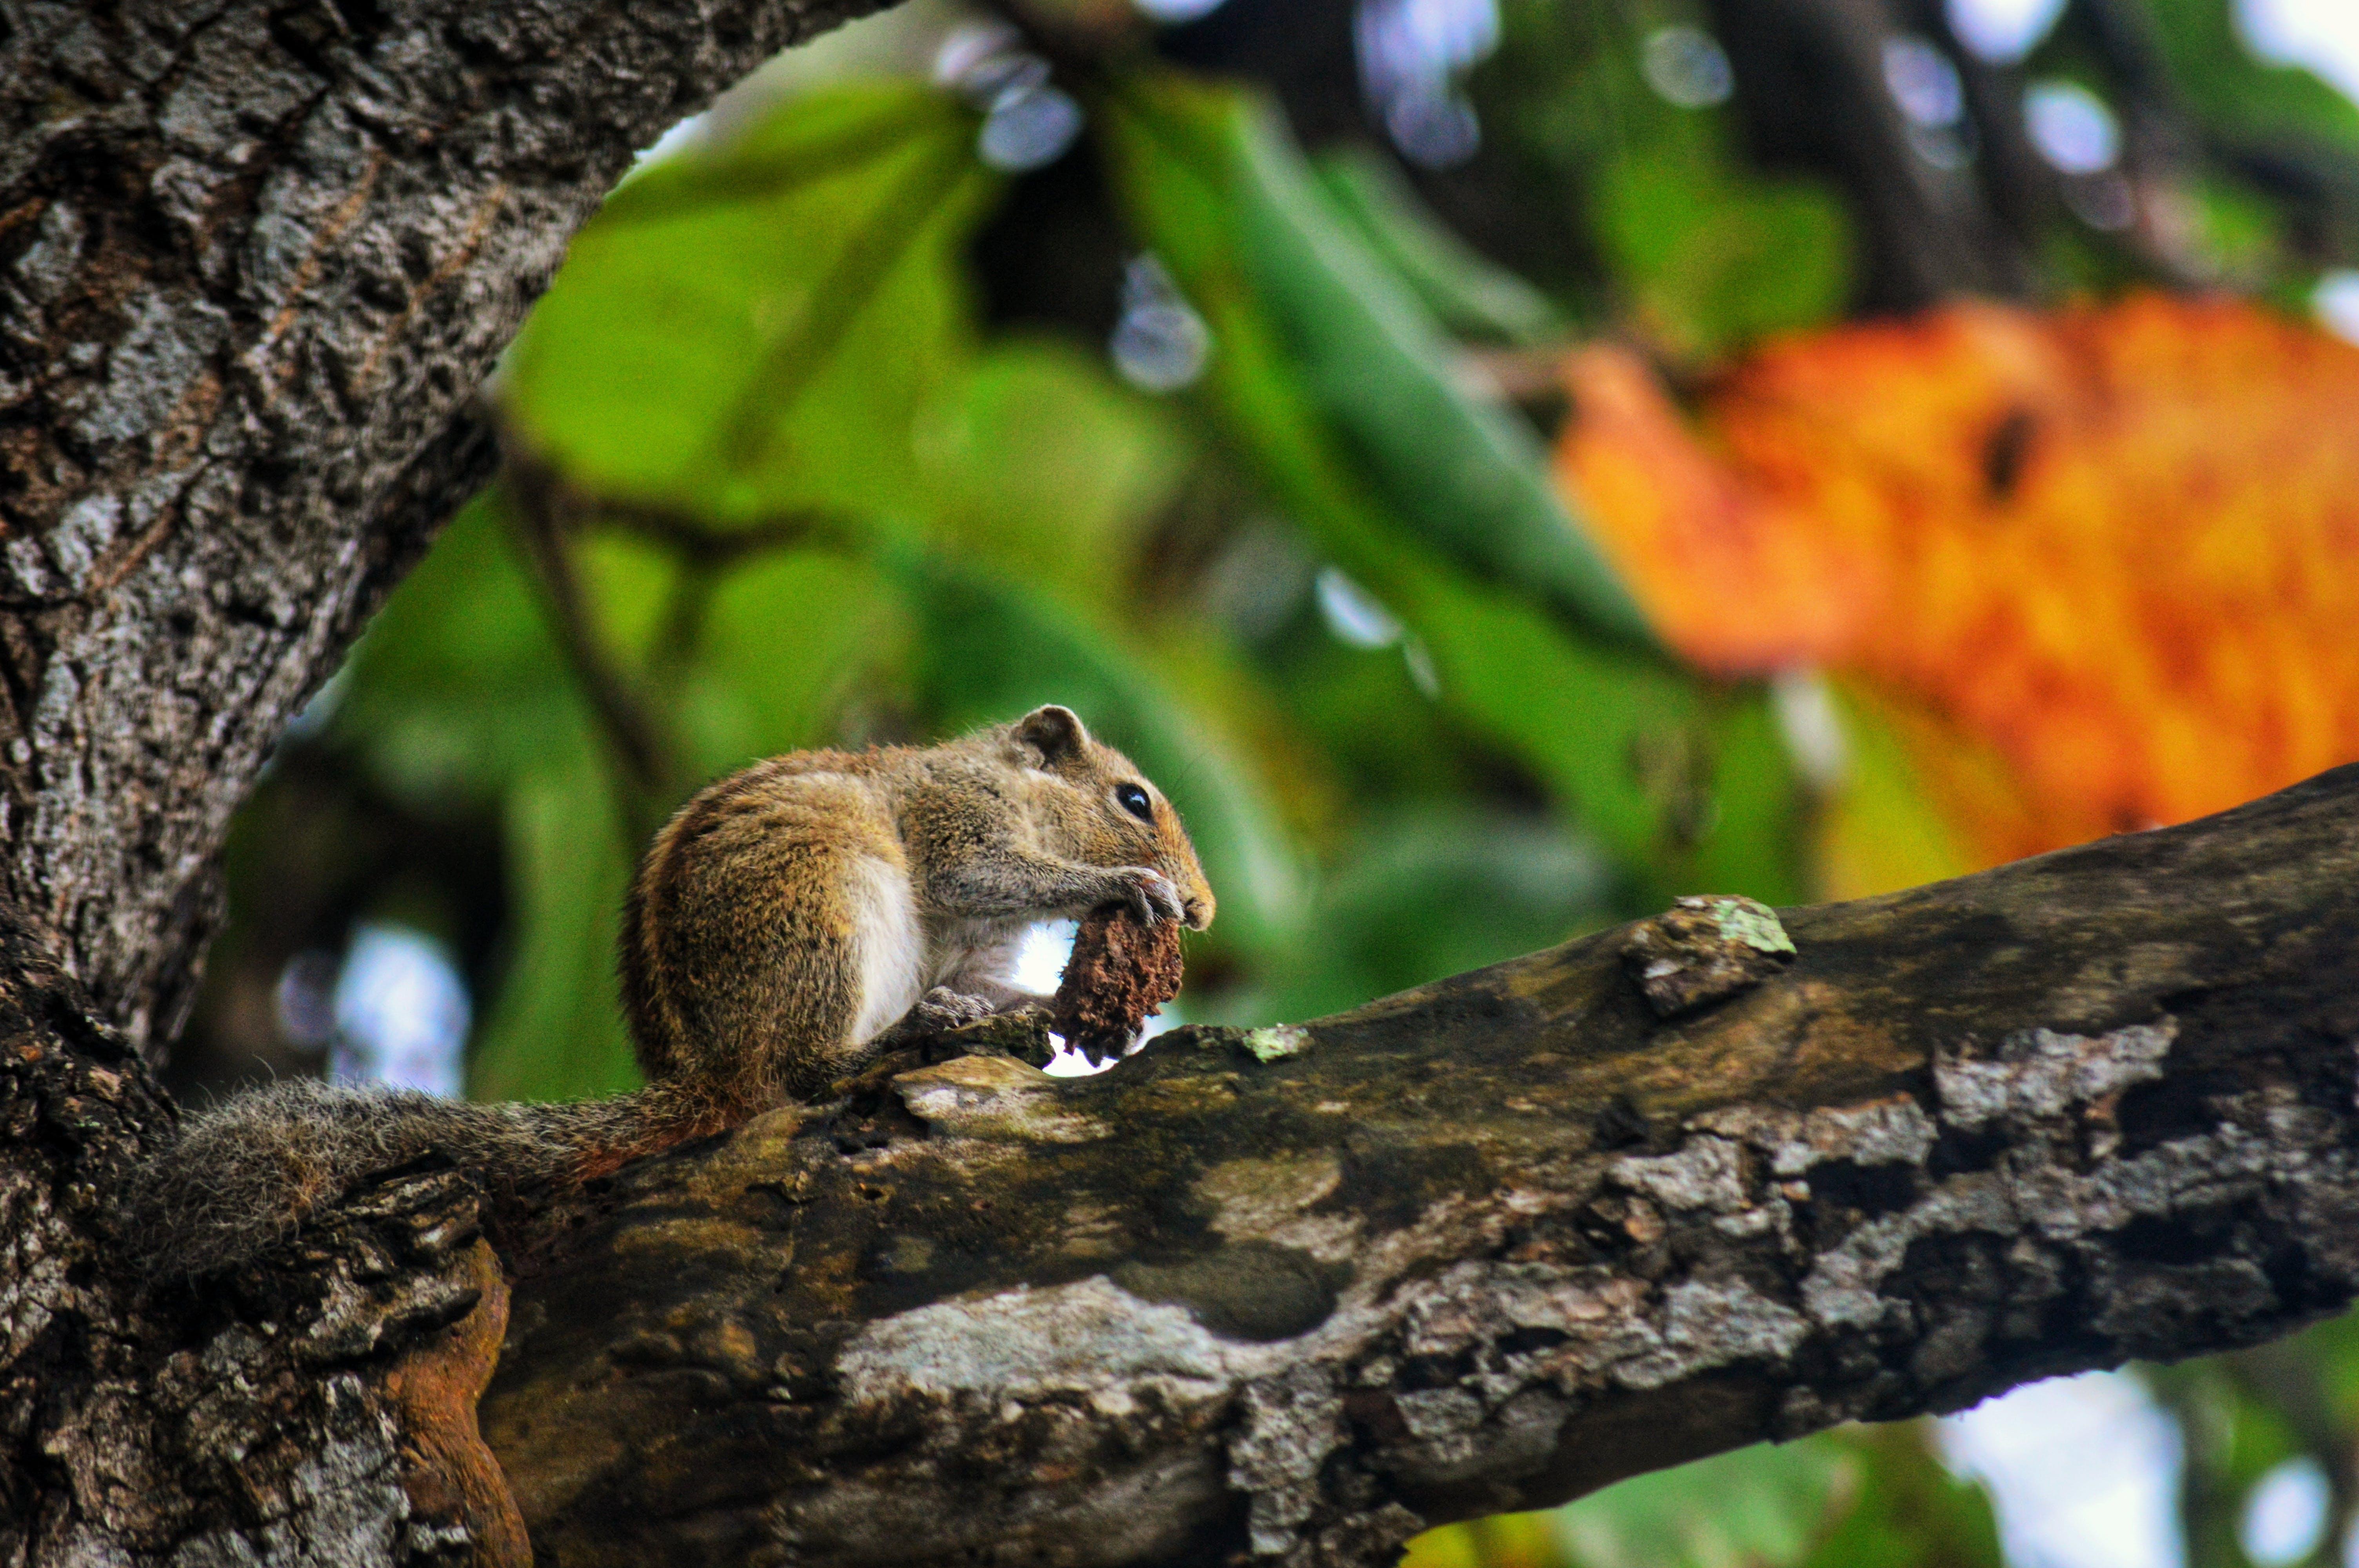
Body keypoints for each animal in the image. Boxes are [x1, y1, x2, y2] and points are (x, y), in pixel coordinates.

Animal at [129, 702, 1217, 1283]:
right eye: (1133, 799)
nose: (1204, 909)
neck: (1006, 778)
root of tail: (709, 1077)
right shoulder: (957, 820)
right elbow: (983, 870)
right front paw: (1121, 885)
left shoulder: (978, 950)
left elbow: (990, 980)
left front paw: (1045, 1020)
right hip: (824, 904)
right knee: (802, 1073)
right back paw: (898, 1041)